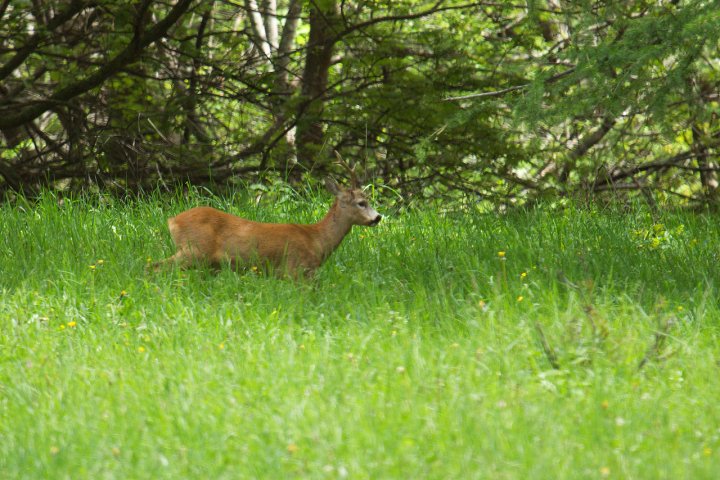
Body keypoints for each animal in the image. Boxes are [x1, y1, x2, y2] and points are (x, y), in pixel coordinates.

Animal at [152, 154, 382, 280]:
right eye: (361, 202)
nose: (378, 217)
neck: (317, 239)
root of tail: (172, 221)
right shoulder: (295, 269)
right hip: (193, 250)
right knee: (155, 267)